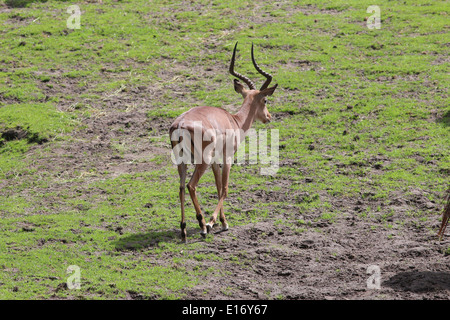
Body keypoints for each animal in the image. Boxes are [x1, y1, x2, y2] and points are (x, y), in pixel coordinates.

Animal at [169, 43, 276, 242]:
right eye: (265, 100)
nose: (268, 117)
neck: (234, 121)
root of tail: (179, 125)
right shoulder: (227, 158)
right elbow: (225, 188)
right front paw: (213, 223)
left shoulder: (215, 161)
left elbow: (218, 187)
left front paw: (223, 222)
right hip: (201, 162)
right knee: (191, 185)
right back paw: (202, 225)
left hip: (182, 162)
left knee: (180, 188)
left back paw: (184, 230)